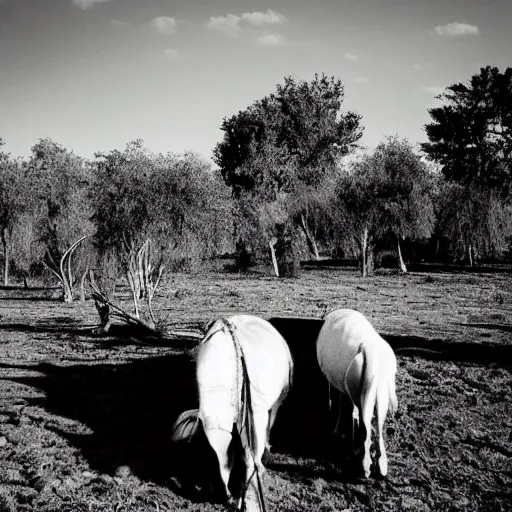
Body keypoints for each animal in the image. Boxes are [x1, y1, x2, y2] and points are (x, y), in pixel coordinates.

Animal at [195, 314, 292, 510]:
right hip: (255, 411)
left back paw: (229, 495)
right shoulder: (273, 404)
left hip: (216, 417)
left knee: (222, 450)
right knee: (251, 452)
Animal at [318, 306, 398, 478]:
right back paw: (380, 465)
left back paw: (364, 463)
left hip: (358, 391)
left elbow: (341, 405)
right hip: (380, 389)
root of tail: (368, 349)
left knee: (362, 420)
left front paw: (337, 431)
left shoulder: (335, 383)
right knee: (377, 423)